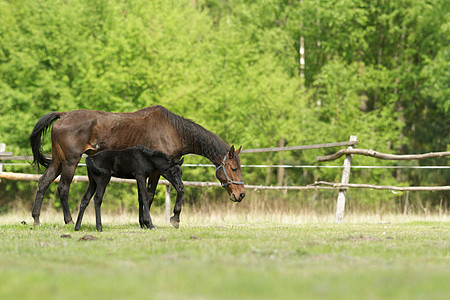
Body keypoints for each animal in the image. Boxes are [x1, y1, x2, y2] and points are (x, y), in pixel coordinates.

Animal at [29, 105, 244, 225]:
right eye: (233, 168)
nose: (240, 194)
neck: (174, 130)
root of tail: (63, 115)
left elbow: (144, 196)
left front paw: (143, 222)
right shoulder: (159, 171)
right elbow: (156, 194)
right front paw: (171, 219)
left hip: (58, 161)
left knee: (43, 182)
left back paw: (36, 219)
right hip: (70, 162)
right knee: (63, 188)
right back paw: (69, 220)